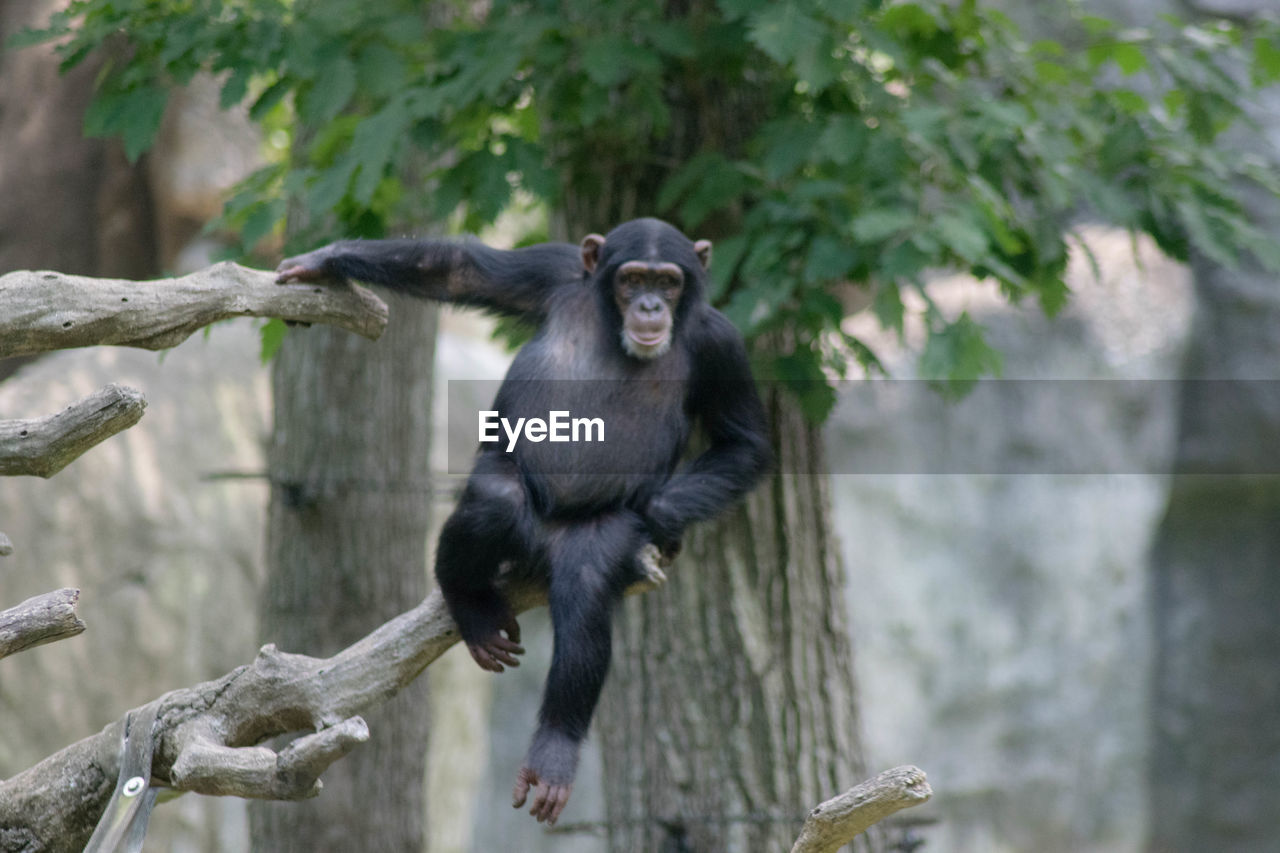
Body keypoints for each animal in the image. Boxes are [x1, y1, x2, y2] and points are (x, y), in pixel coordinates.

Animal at [277, 217, 768, 824]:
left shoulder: (722, 344)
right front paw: (323, 260)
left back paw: (554, 751)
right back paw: (471, 606)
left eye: (670, 282)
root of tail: (542, 545)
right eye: (632, 279)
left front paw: (659, 514)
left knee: (586, 583)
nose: (652, 305)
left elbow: (742, 443)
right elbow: (459, 268)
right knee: (495, 502)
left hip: (588, 539)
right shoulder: (553, 272)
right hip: (511, 512)